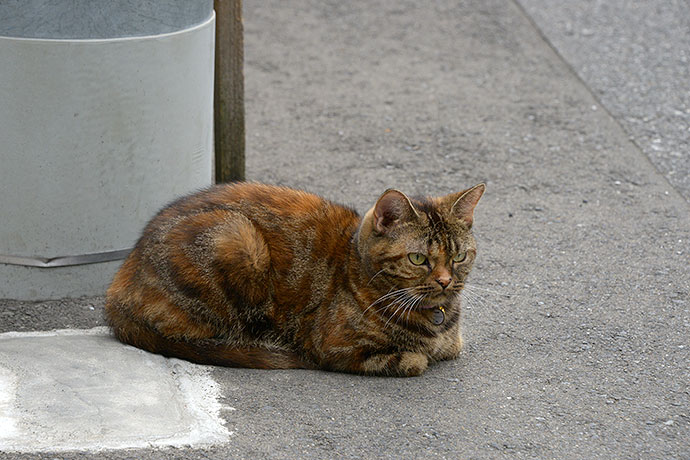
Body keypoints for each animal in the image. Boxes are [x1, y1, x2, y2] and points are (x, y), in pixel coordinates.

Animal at [106, 181, 484, 376]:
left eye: (459, 256)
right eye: (418, 259)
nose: (446, 281)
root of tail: (117, 289)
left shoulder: (452, 343)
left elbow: (448, 348)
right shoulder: (335, 347)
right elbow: (413, 360)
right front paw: (414, 356)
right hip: (237, 238)